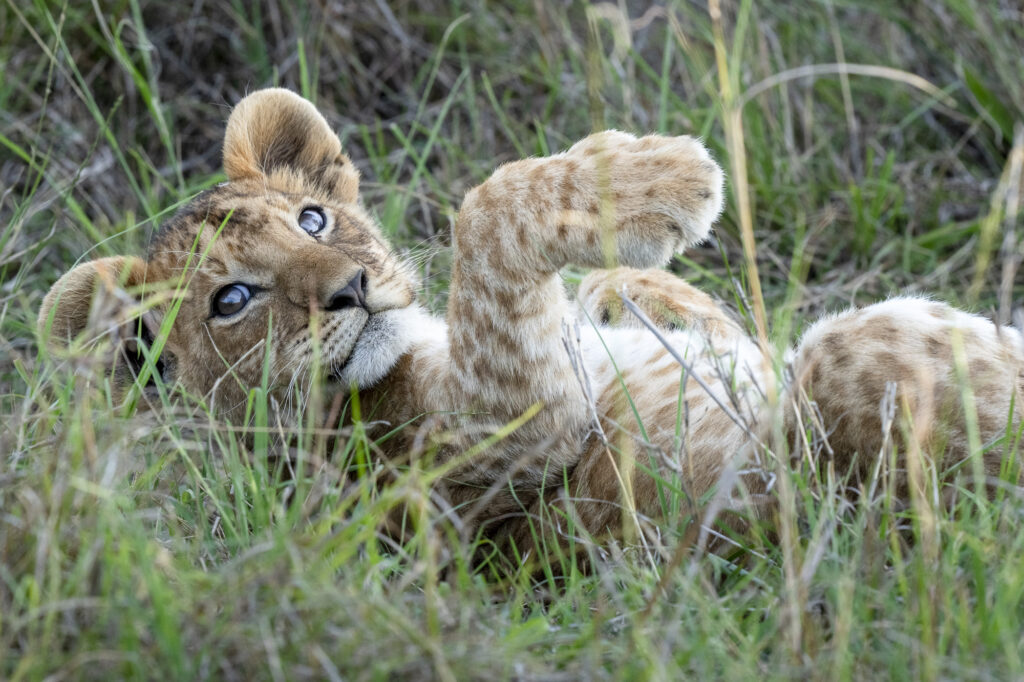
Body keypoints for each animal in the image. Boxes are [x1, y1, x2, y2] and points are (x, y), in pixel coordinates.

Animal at [39, 88, 1024, 557]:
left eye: (312, 221)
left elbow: (651, 306)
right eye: (232, 302)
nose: (352, 289)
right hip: (846, 377)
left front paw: (635, 275)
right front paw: (663, 177)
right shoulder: (498, 432)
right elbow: (486, 208)